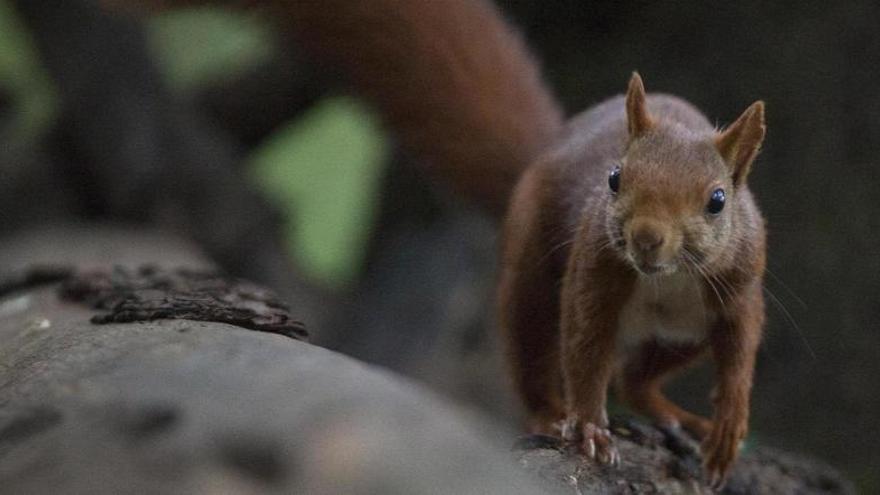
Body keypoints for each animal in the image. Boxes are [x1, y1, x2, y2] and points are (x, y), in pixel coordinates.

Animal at [103, 0, 764, 488]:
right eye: (615, 179)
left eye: (717, 200)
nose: (646, 239)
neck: (666, 278)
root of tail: (552, 147)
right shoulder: (594, 269)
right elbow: (584, 348)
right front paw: (587, 427)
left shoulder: (740, 286)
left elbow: (739, 352)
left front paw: (729, 425)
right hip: (529, 269)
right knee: (537, 347)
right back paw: (550, 412)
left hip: (682, 333)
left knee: (637, 376)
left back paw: (677, 417)